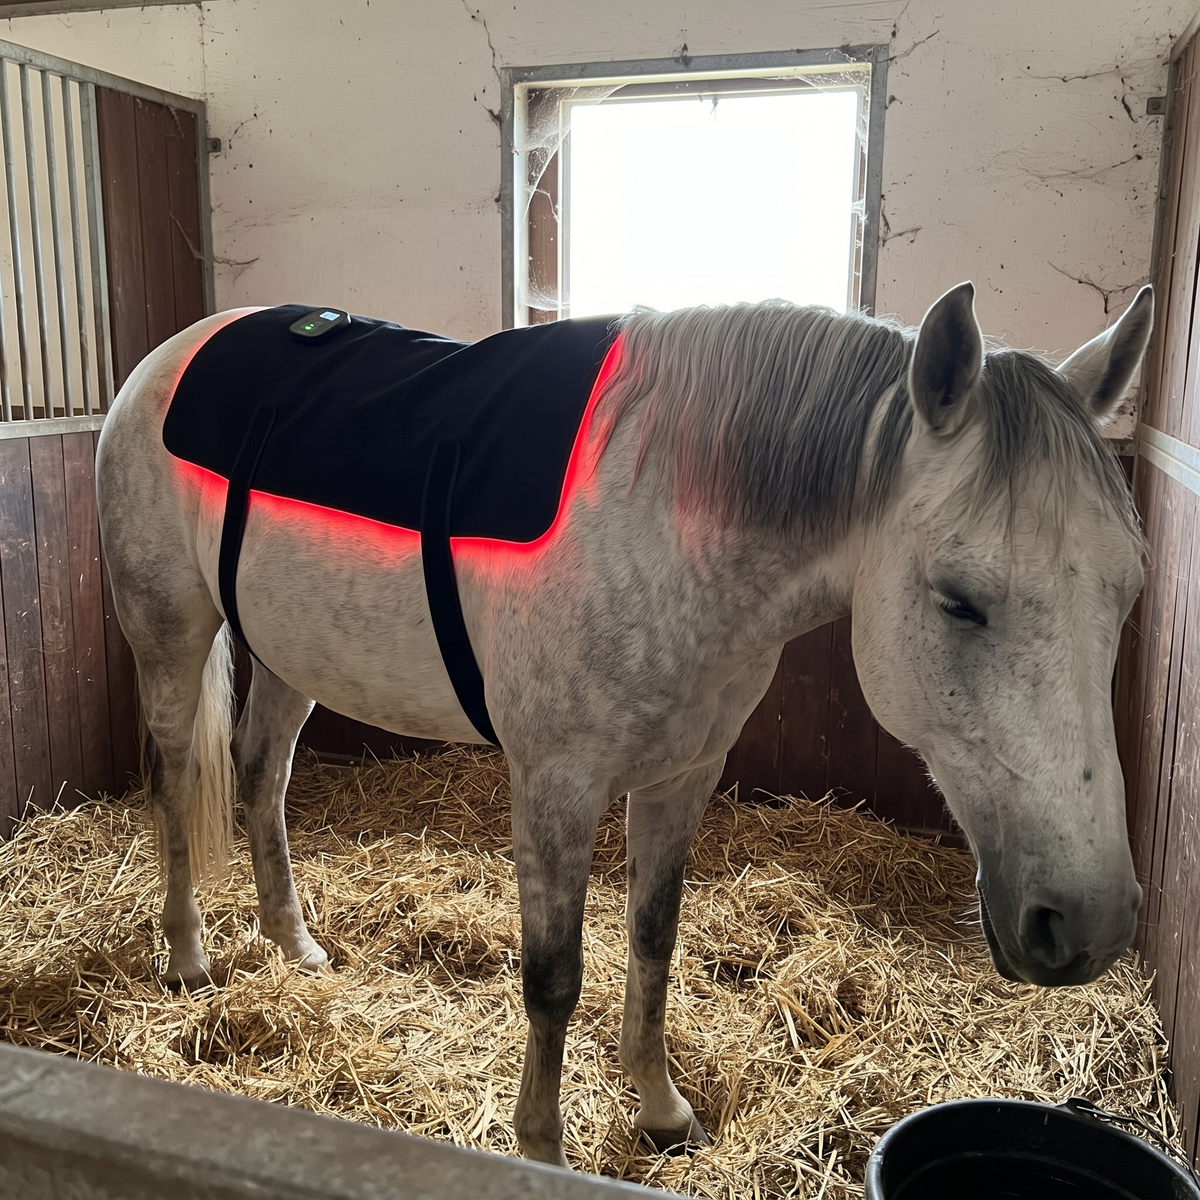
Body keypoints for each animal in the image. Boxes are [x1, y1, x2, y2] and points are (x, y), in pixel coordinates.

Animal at [95, 281, 1153, 1166]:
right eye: (959, 601)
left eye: (1127, 588)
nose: (1088, 922)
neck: (669, 522)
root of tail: (174, 353)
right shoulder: (556, 787)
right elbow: (553, 978)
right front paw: (542, 1148)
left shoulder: (683, 773)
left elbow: (654, 938)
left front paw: (662, 1109)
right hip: (170, 637)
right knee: (177, 778)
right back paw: (187, 955)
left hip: (289, 653)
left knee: (261, 772)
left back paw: (293, 941)